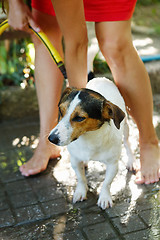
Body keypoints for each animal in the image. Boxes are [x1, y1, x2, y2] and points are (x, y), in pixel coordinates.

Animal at [48, 78, 134, 209]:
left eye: (79, 118)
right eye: (60, 111)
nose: (51, 138)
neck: (89, 138)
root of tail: (101, 78)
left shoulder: (113, 165)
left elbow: (107, 183)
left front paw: (104, 197)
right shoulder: (75, 160)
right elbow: (81, 178)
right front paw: (81, 191)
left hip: (126, 129)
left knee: (128, 144)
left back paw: (131, 161)